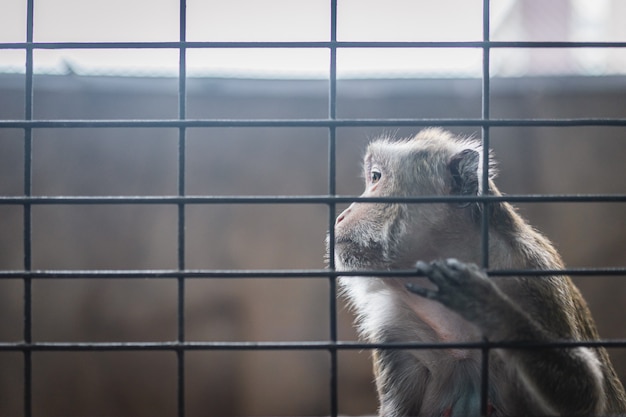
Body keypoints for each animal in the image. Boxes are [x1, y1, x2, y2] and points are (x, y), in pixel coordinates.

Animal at [332, 128, 624, 414]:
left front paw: (489, 307)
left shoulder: (534, 279)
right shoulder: (392, 325)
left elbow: (584, 394)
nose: (340, 216)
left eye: (375, 177)